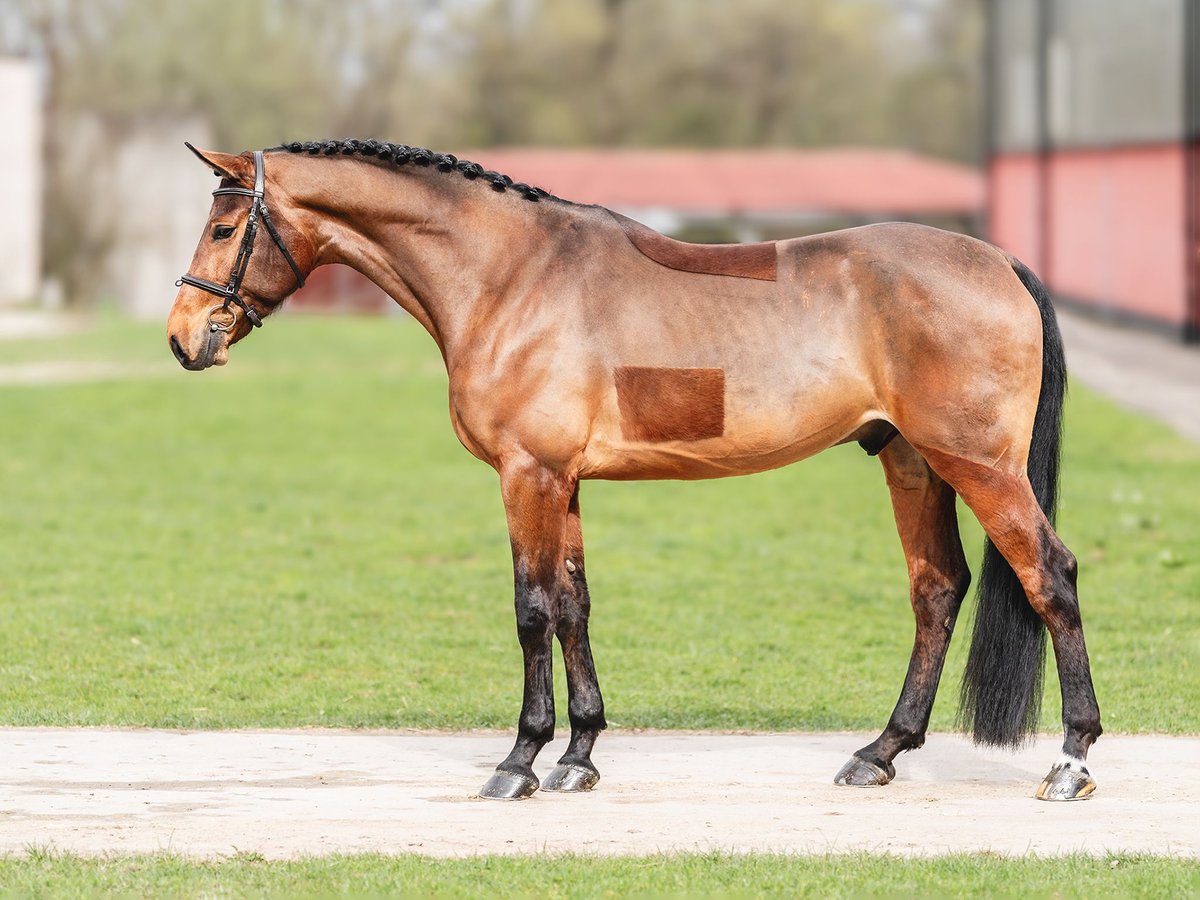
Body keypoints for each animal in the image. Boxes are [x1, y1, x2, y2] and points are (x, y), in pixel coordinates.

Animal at [166, 141, 1099, 801]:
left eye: (223, 229)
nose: (183, 339)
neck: (509, 277)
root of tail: (998, 261)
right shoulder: (565, 481)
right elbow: (575, 606)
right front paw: (579, 753)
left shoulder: (528, 475)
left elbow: (532, 611)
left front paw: (520, 760)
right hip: (911, 461)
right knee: (937, 589)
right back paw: (880, 753)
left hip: (978, 465)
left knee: (1049, 576)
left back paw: (1070, 761)